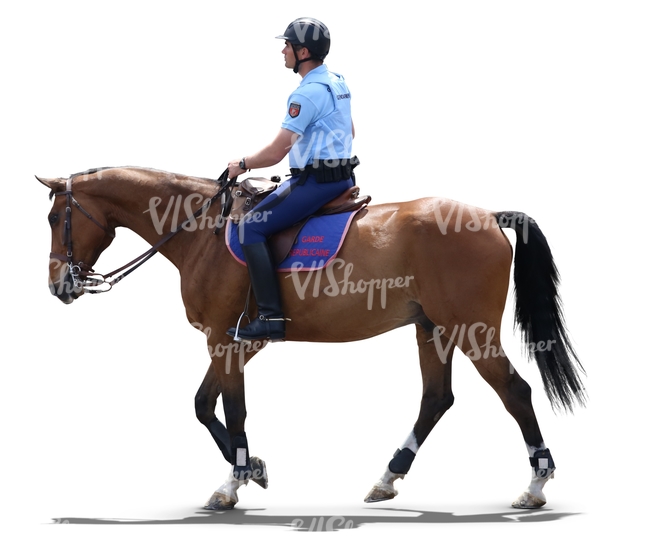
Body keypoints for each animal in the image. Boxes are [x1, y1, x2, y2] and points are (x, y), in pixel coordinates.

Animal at [36, 166, 588, 510]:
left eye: (54, 218)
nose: (59, 286)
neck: (200, 232)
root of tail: (489, 215)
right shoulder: (234, 342)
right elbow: (202, 405)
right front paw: (254, 468)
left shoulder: (224, 340)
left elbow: (231, 410)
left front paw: (234, 481)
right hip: (431, 328)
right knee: (436, 398)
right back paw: (387, 478)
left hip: (471, 329)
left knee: (514, 391)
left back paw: (535, 486)